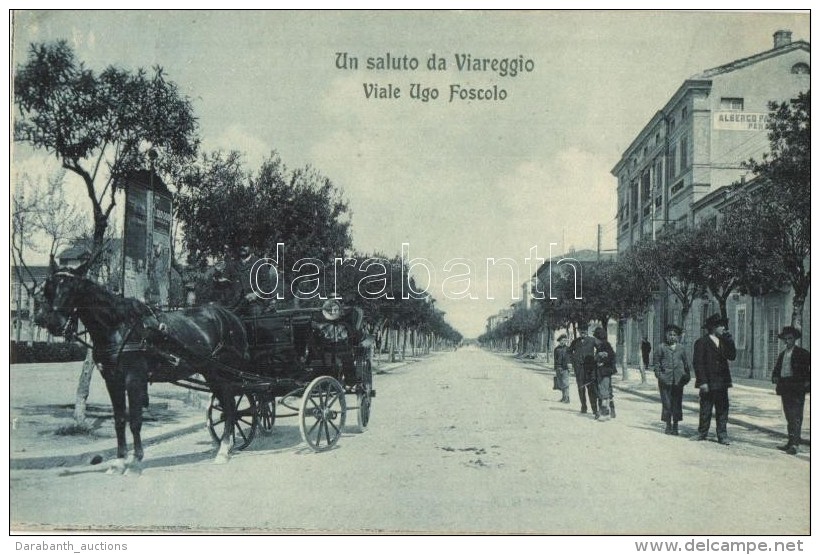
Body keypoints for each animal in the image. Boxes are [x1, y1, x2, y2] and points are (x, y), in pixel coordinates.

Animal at [36, 258, 247, 474]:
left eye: (74, 288)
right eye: (49, 287)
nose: (51, 321)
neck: (119, 325)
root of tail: (230, 316)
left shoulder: (134, 377)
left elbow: (136, 420)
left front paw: (136, 461)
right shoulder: (112, 379)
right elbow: (120, 419)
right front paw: (119, 461)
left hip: (223, 373)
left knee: (230, 405)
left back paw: (223, 449)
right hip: (211, 372)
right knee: (227, 404)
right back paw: (227, 445)